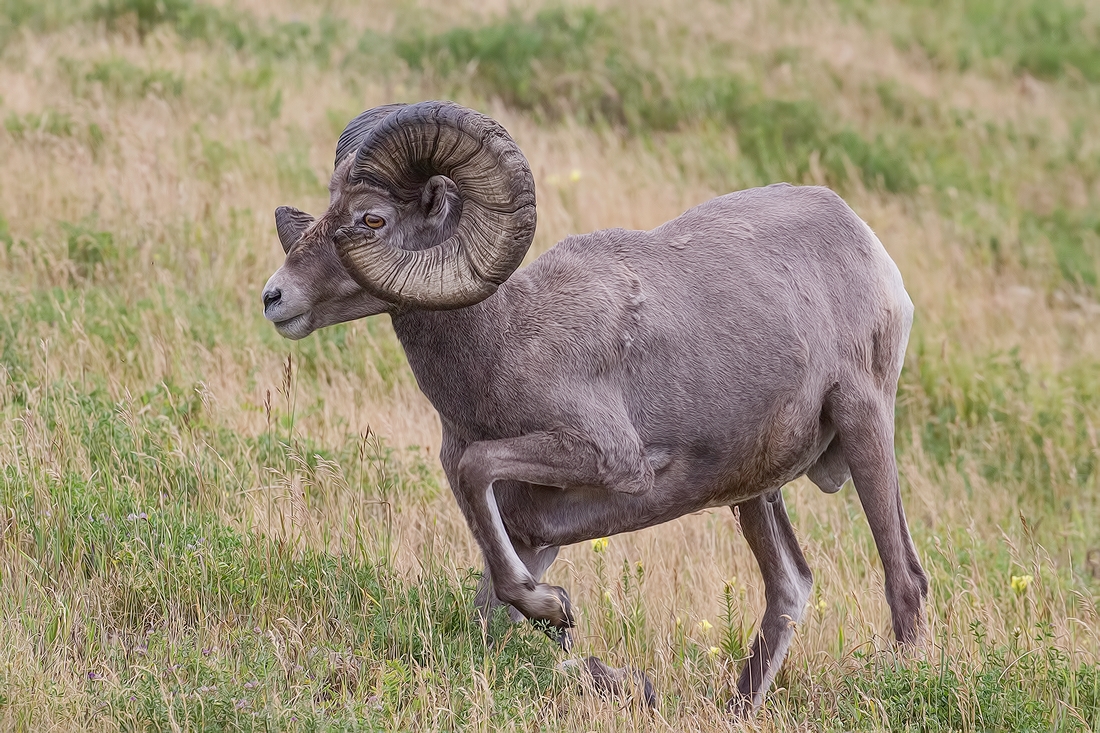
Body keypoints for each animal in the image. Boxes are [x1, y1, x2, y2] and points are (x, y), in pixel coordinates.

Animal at [259, 100, 928, 708]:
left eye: (371, 219)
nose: (274, 297)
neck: (505, 341)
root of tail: (865, 241)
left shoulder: (606, 459)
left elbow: (478, 469)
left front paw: (557, 611)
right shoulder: (529, 532)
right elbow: (489, 619)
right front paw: (563, 628)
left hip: (864, 424)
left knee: (905, 582)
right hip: (755, 491)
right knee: (790, 587)